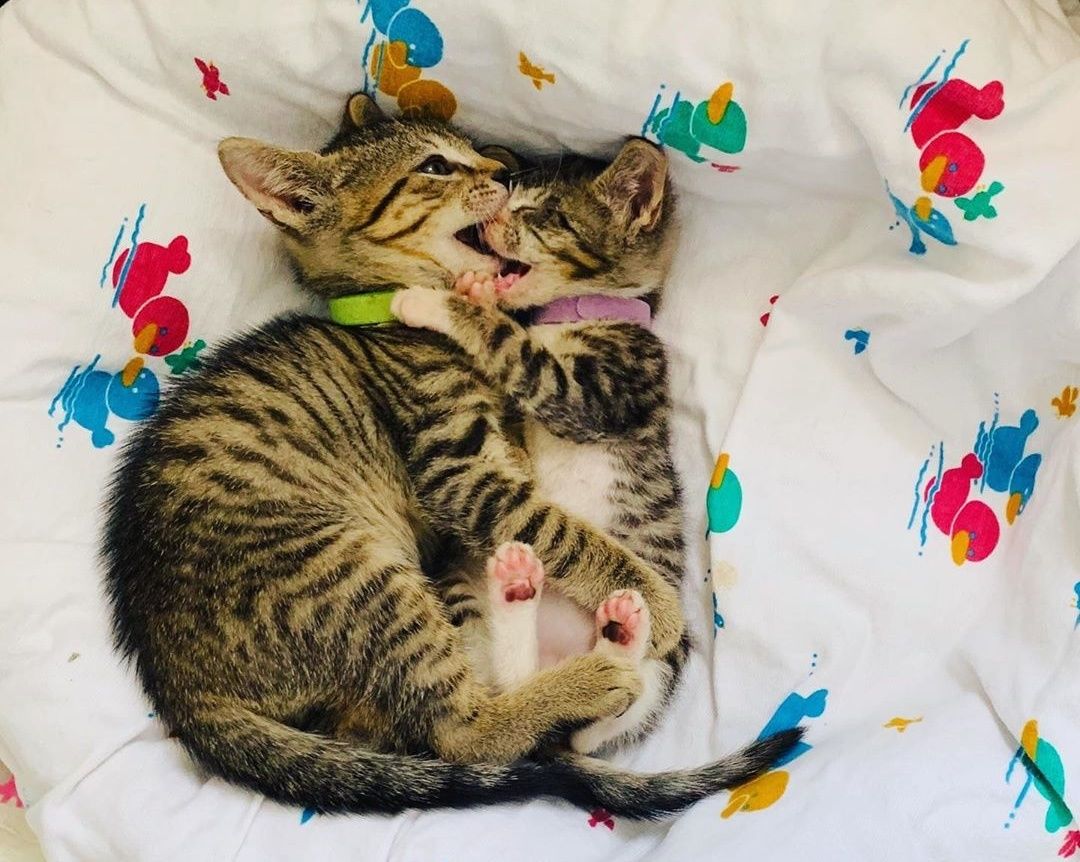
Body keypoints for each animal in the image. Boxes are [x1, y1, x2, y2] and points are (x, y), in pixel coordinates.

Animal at [397, 140, 691, 756]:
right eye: (512, 199)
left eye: (541, 214)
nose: (492, 220)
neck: (578, 314)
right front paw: (475, 289)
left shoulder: (600, 391)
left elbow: (512, 345)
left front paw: (442, 302)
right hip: (461, 584)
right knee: (516, 685)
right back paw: (518, 588)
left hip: (660, 672)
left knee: (602, 723)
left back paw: (622, 630)